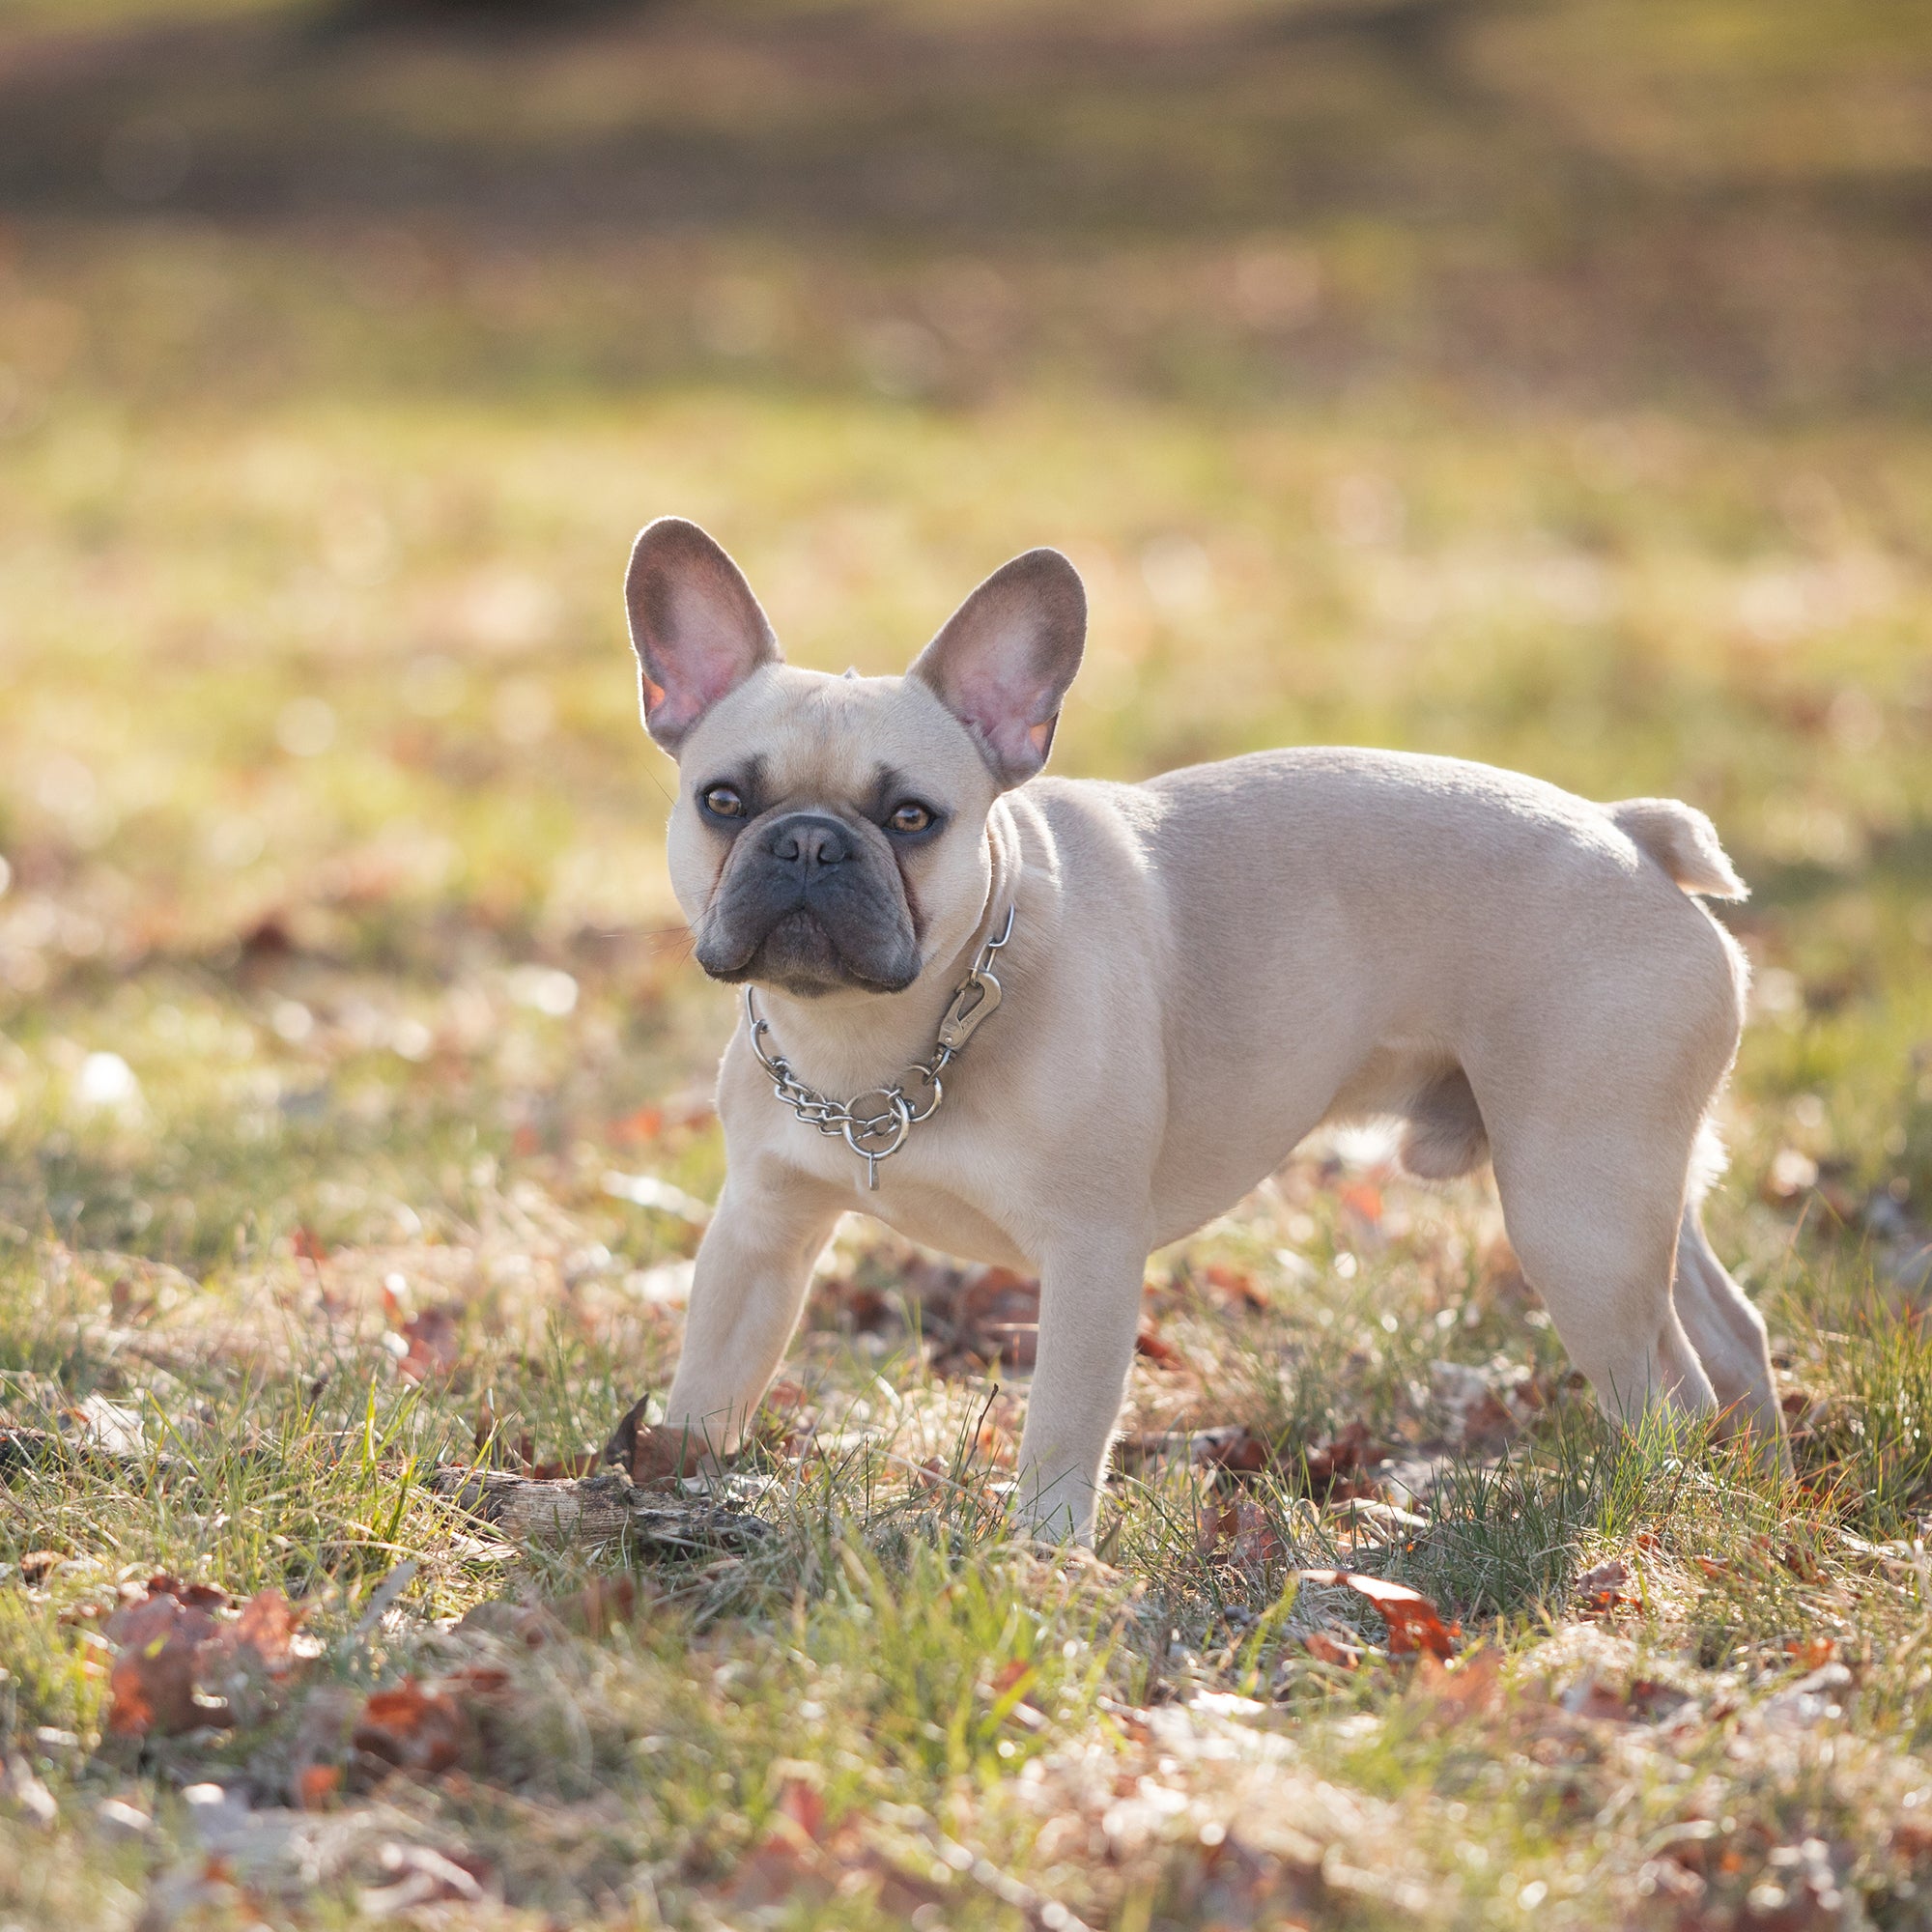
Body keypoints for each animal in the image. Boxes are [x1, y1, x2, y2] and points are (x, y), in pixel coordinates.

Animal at [611, 514, 1785, 1538]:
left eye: (911, 819)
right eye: (723, 801)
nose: (808, 842)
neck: (877, 1047)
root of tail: (1627, 834)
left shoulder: (1089, 1255)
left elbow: (1061, 1431)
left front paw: (1045, 1562)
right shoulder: (761, 1230)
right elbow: (712, 1377)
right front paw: (673, 1484)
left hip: (1571, 1211)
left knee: (1668, 1386)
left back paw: (1651, 1508)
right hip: (1625, 1179)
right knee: (1727, 1329)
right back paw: (1762, 1480)